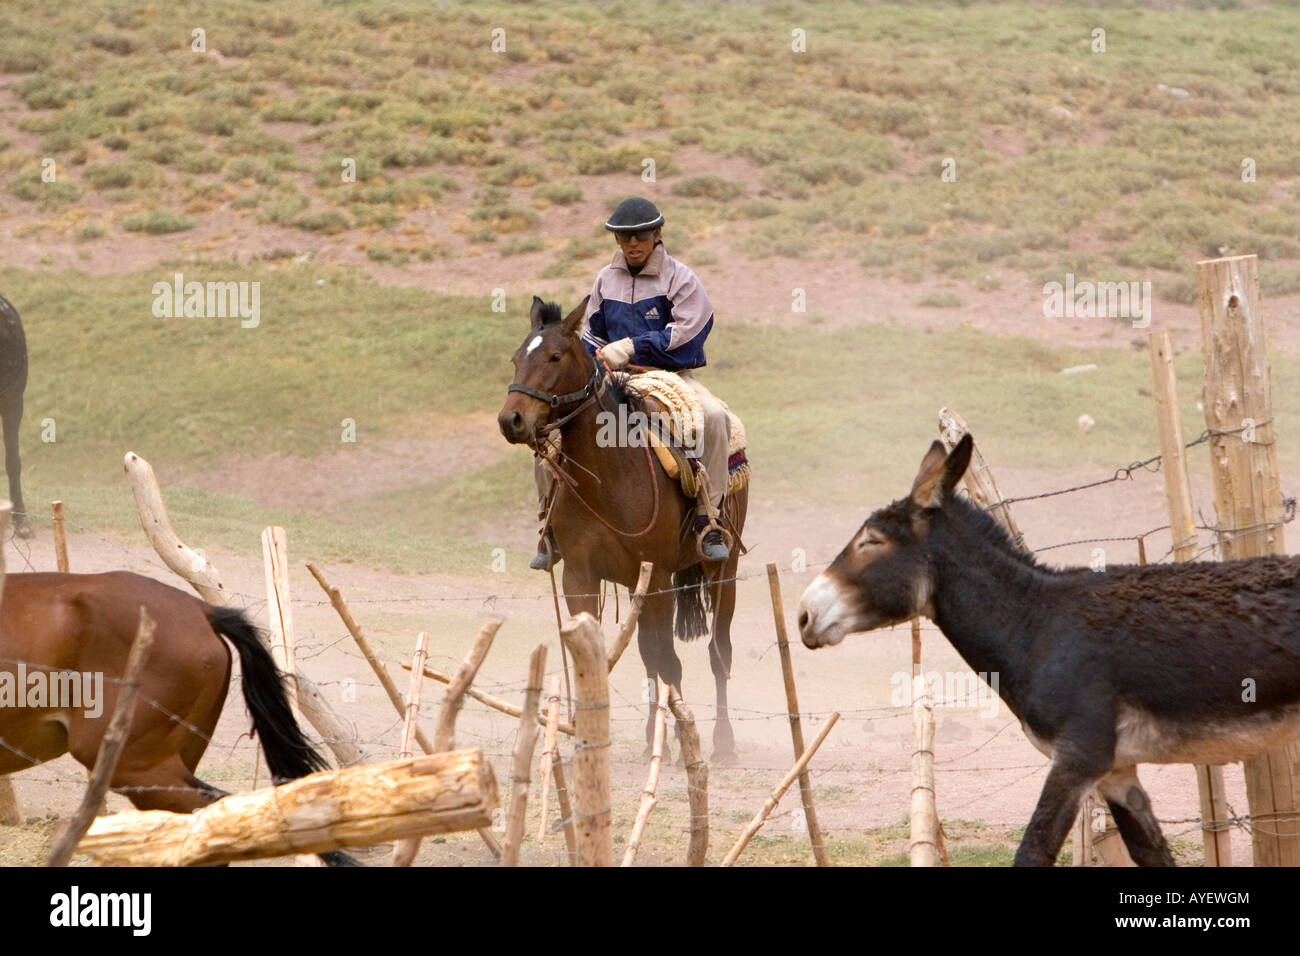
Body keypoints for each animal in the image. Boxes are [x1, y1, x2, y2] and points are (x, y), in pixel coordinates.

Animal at [498, 296, 748, 761]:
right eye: (516, 358)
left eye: (554, 356)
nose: (512, 420)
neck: (608, 475)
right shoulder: (580, 576)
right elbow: (609, 655)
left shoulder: (660, 577)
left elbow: (670, 661)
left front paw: (682, 740)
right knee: (652, 653)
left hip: (723, 574)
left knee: (717, 652)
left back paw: (723, 742)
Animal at [797, 433, 1300, 866]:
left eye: (872, 541)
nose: (803, 615)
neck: (1036, 626)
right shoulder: (1118, 773)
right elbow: (1152, 854)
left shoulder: (1077, 759)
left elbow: (1032, 853)